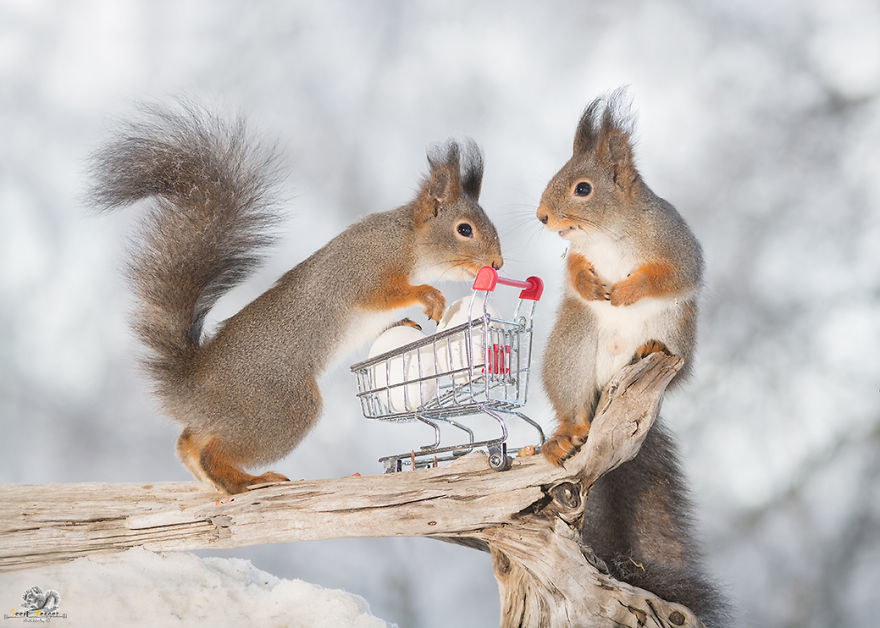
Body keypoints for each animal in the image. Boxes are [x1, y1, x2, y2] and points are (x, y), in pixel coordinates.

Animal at [89, 104, 503, 494]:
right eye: (464, 230)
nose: (498, 264)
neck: (407, 241)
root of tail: (194, 381)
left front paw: (406, 320)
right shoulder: (362, 271)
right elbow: (383, 294)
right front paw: (428, 296)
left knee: (189, 441)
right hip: (281, 408)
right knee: (212, 451)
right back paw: (244, 482)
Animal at [536, 92, 730, 625]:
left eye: (582, 188)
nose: (541, 216)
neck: (609, 231)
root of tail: (612, 387)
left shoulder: (677, 246)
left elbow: (672, 274)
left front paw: (626, 289)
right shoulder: (575, 255)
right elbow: (573, 271)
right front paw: (590, 283)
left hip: (676, 333)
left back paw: (650, 349)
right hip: (572, 345)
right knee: (574, 407)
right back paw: (566, 433)